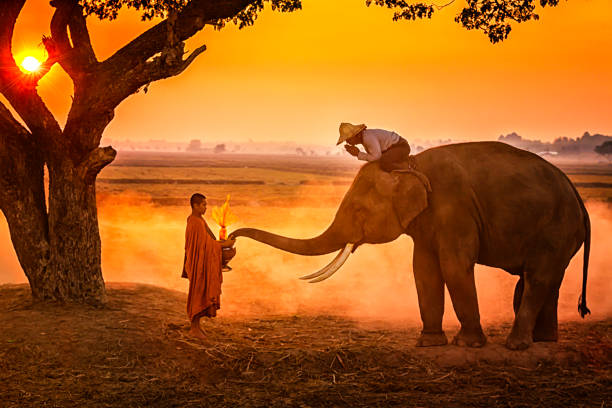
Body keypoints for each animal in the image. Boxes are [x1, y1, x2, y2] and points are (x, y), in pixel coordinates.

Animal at [230, 142, 588, 350]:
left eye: (358, 211)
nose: (231, 239)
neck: (411, 165)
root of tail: (579, 199)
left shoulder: (454, 208)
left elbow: (454, 266)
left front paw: (467, 345)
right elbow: (424, 270)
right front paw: (428, 344)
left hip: (555, 229)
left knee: (537, 279)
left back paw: (516, 346)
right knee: (547, 281)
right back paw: (543, 342)